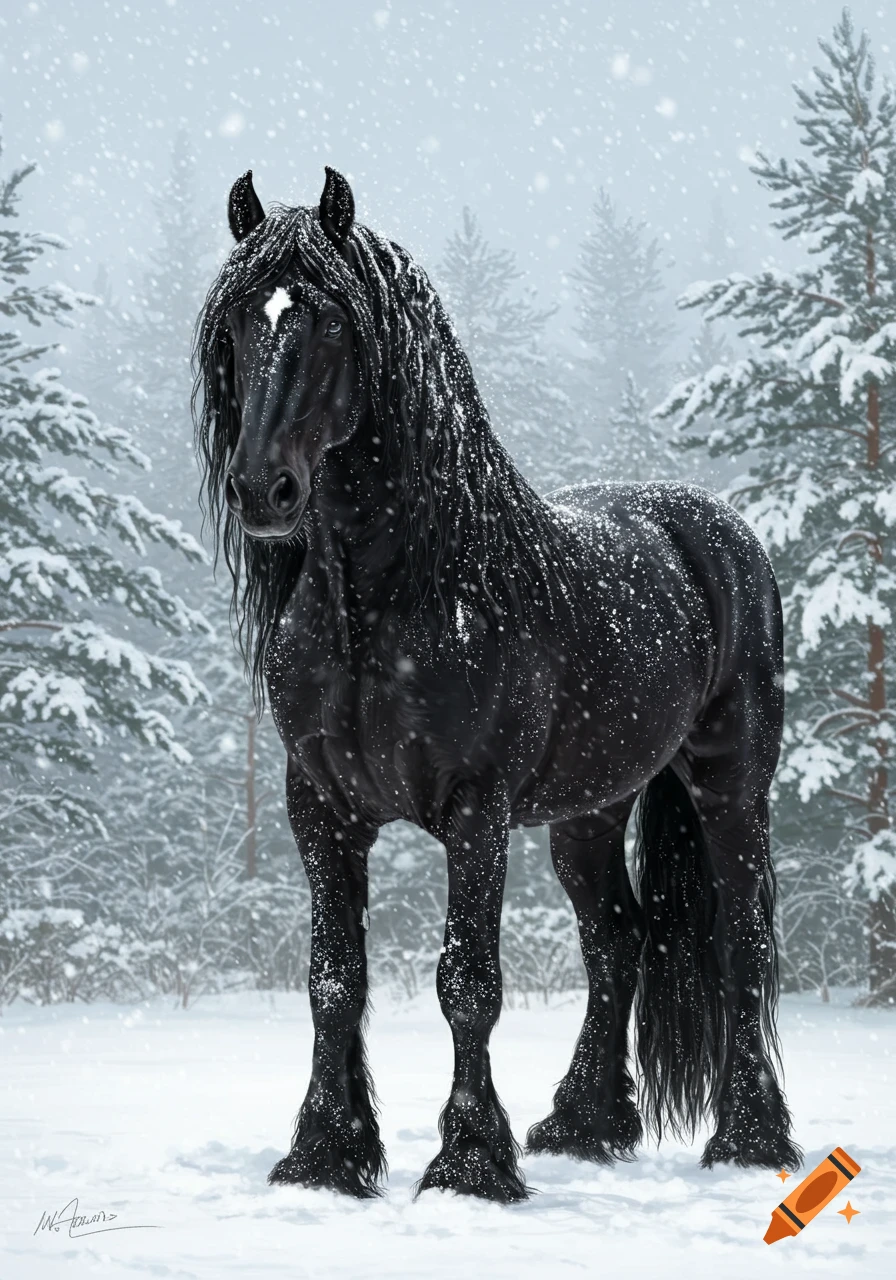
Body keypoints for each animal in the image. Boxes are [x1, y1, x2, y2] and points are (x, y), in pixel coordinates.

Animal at [192, 166, 802, 1202]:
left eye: (327, 323)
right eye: (236, 321)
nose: (262, 490)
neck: (393, 598)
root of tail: (716, 531)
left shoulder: (474, 812)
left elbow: (467, 985)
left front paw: (470, 1161)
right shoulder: (322, 811)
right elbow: (333, 981)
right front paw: (325, 1154)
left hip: (731, 784)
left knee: (744, 937)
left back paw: (751, 1137)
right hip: (590, 812)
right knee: (619, 938)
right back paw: (583, 1123)